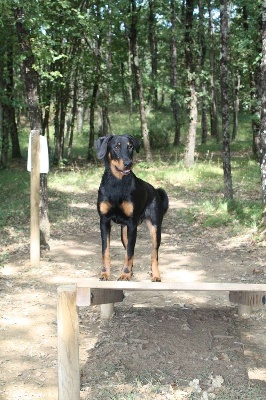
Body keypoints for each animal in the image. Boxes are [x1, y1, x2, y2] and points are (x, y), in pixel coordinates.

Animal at [95, 134, 168, 282]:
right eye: (116, 147)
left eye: (130, 146)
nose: (128, 163)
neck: (117, 183)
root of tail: (155, 191)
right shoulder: (104, 221)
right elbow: (106, 251)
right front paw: (105, 273)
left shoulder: (132, 224)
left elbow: (130, 252)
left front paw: (125, 274)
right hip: (124, 232)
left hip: (155, 228)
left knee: (154, 254)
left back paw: (155, 275)